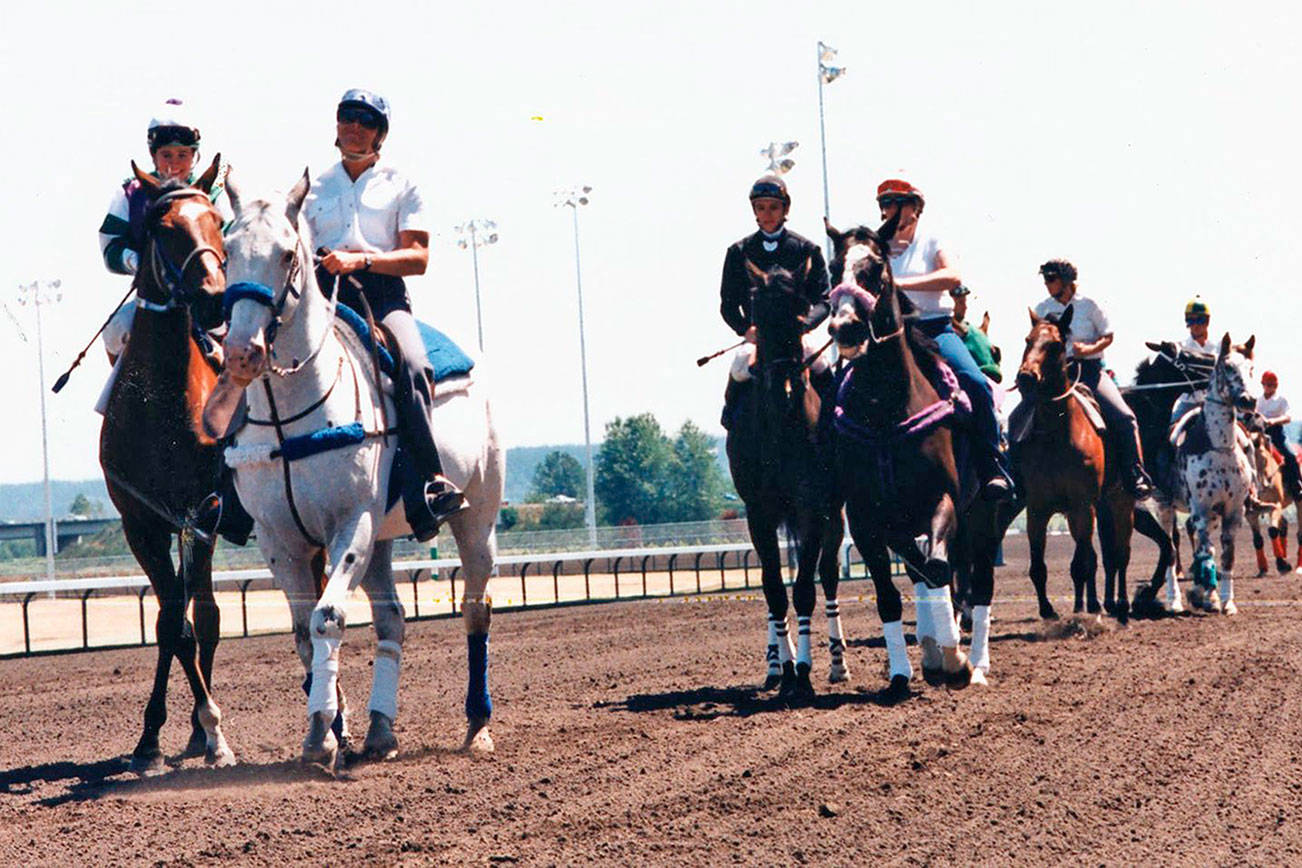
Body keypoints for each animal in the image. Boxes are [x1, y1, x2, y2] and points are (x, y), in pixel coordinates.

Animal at [210, 171, 499, 765]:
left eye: (287, 253)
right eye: (228, 252)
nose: (244, 352)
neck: (290, 418)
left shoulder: (352, 524)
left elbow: (328, 619)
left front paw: (324, 731)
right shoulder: (279, 539)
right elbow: (303, 630)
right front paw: (326, 730)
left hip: (476, 517)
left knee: (475, 608)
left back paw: (477, 725)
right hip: (383, 541)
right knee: (393, 619)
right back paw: (381, 729)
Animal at [723, 260, 843, 707]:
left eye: (799, 313)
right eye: (757, 312)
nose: (785, 386)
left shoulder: (813, 508)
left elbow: (805, 587)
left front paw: (804, 674)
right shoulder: (758, 512)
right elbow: (773, 588)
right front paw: (787, 669)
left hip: (836, 511)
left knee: (829, 575)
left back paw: (837, 663)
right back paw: (775, 666)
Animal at [1156, 335, 1255, 614]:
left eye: (1251, 368)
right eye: (1228, 367)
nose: (1249, 400)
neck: (1219, 448)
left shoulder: (1233, 512)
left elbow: (1227, 556)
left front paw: (1227, 601)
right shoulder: (1201, 508)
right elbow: (1205, 551)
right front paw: (1206, 596)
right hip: (1164, 506)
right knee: (1170, 549)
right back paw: (1174, 600)